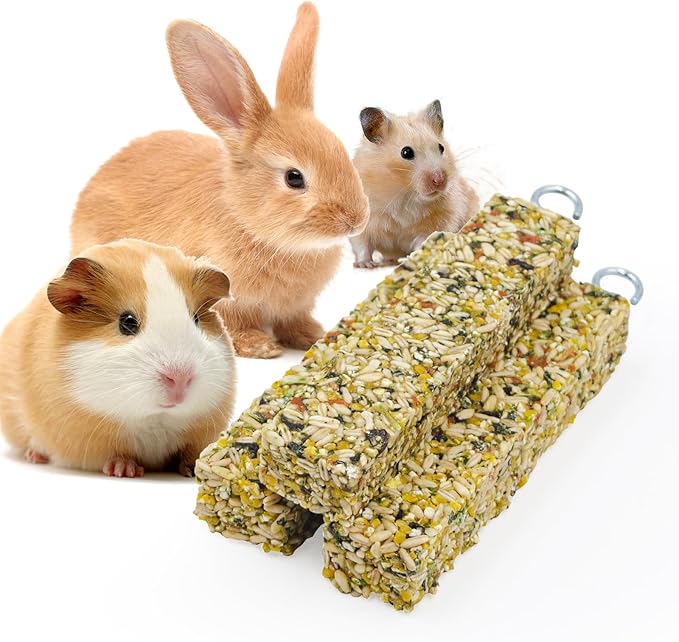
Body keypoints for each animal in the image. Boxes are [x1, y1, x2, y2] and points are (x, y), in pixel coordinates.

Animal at [0, 238, 236, 477]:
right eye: (127, 322)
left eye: (196, 319)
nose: (180, 378)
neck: (156, 419)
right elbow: (116, 454)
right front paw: (125, 470)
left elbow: (188, 453)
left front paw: (193, 468)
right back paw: (35, 456)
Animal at [69, 2, 369, 359]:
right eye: (294, 178)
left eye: (341, 153)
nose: (356, 220)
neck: (249, 222)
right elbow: (236, 325)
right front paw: (261, 347)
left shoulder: (296, 305)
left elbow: (294, 320)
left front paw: (312, 335)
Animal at [351, 100, 479, 268]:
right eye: (406, 152)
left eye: (441, 147)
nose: (440, 180)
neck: (405, 194)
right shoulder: (362, 220)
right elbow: (362, 244)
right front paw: (365, 265)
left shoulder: (441, 219)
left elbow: (423, 240)